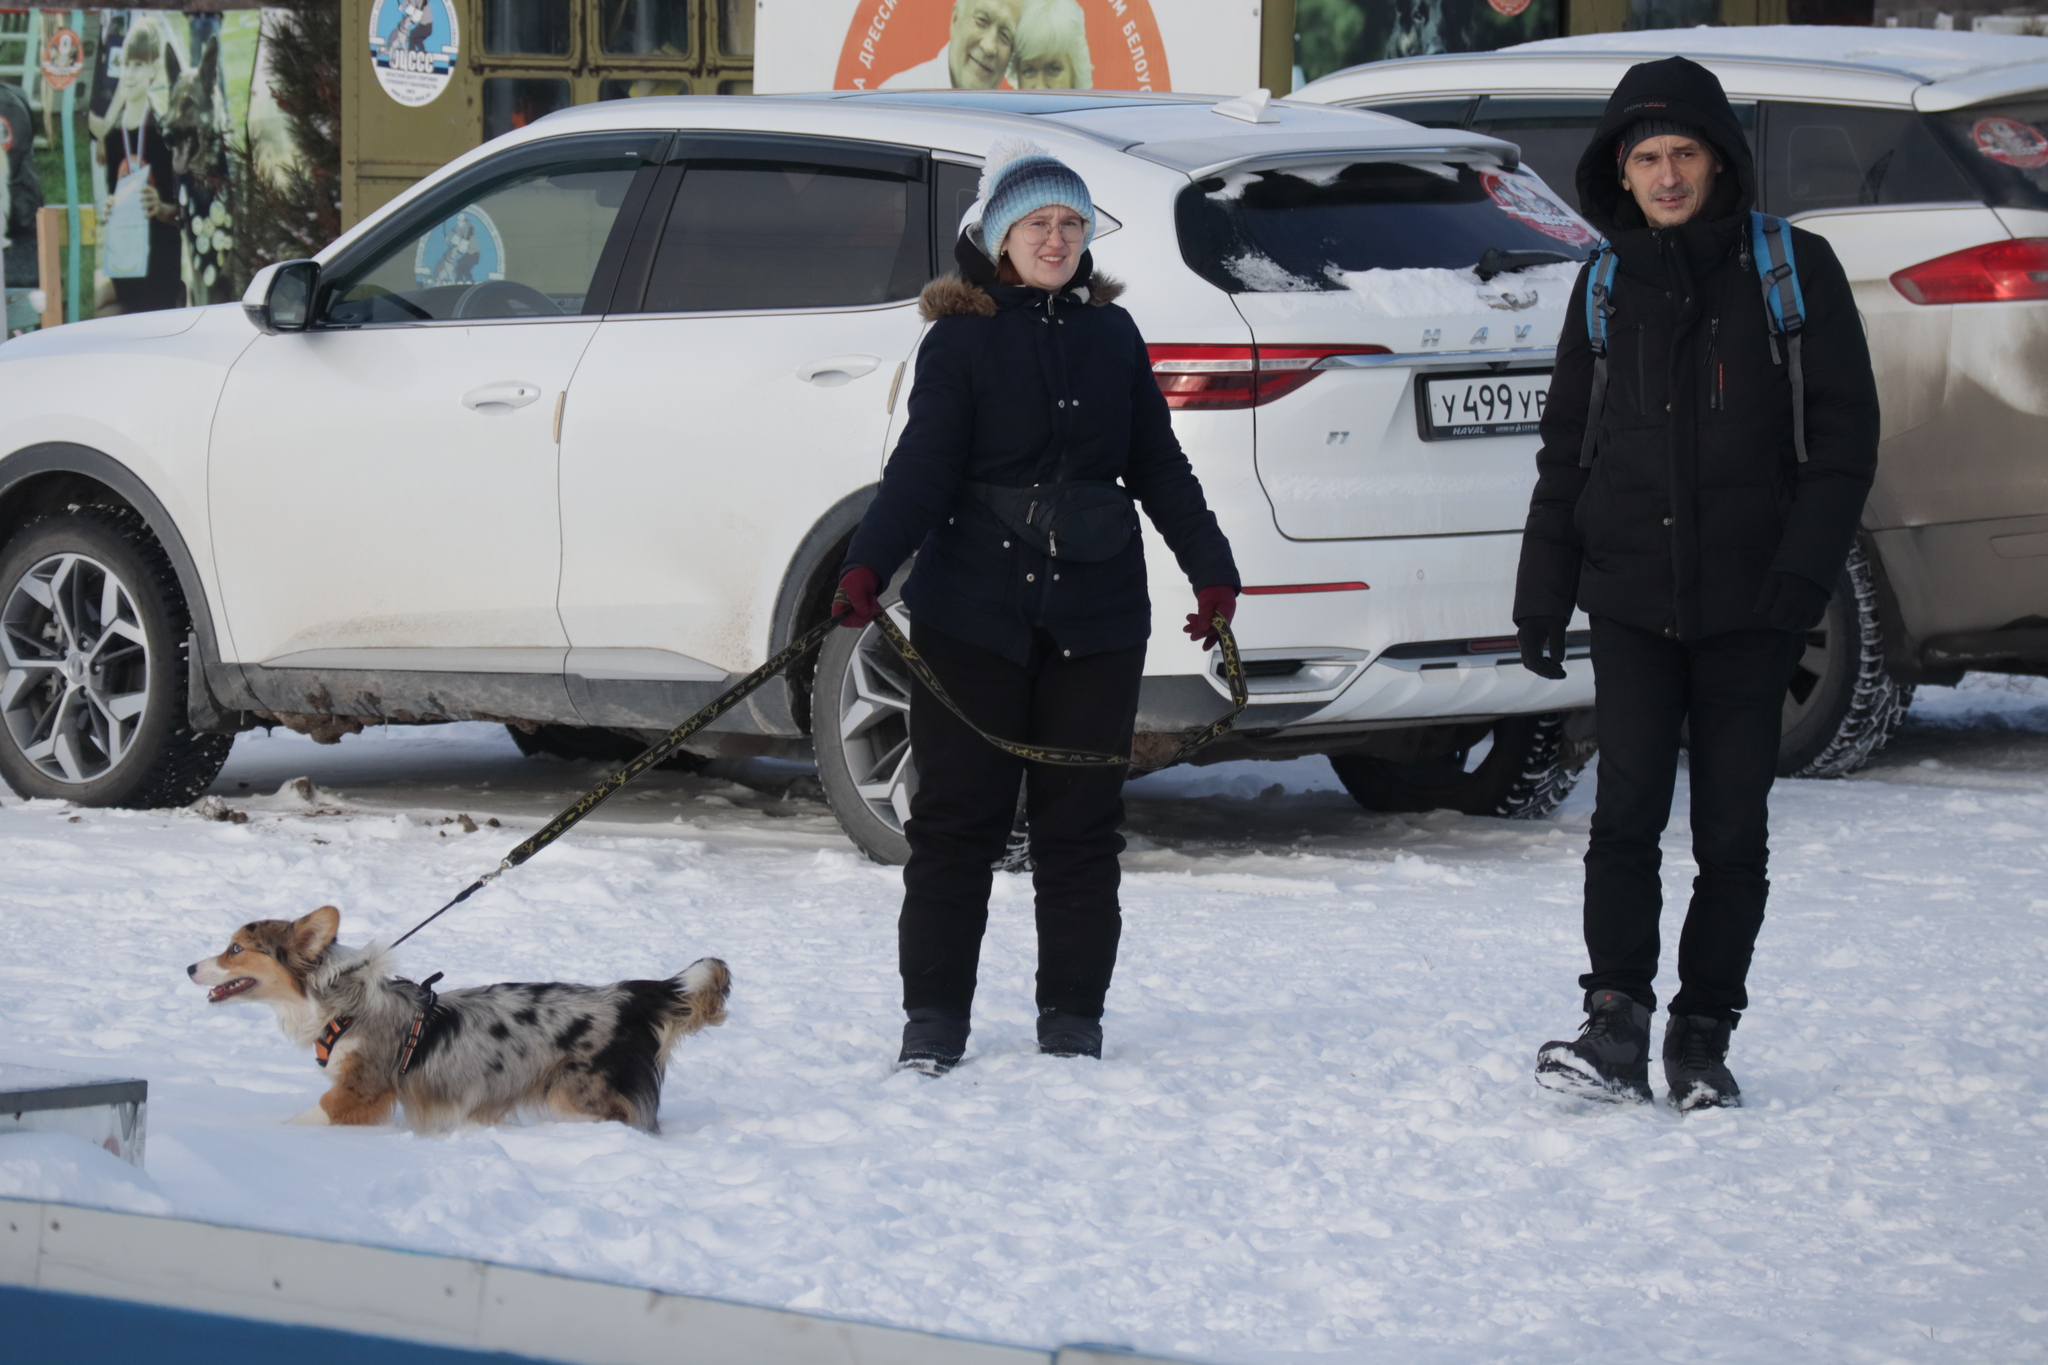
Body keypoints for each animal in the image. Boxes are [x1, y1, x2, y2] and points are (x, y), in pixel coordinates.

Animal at [186, 908, 729, 1129]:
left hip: (576, 1097)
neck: (340, 1003)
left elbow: (308, 1118)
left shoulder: (360, 1092)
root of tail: (629, 996)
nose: (189, 967)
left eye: (235, 950)